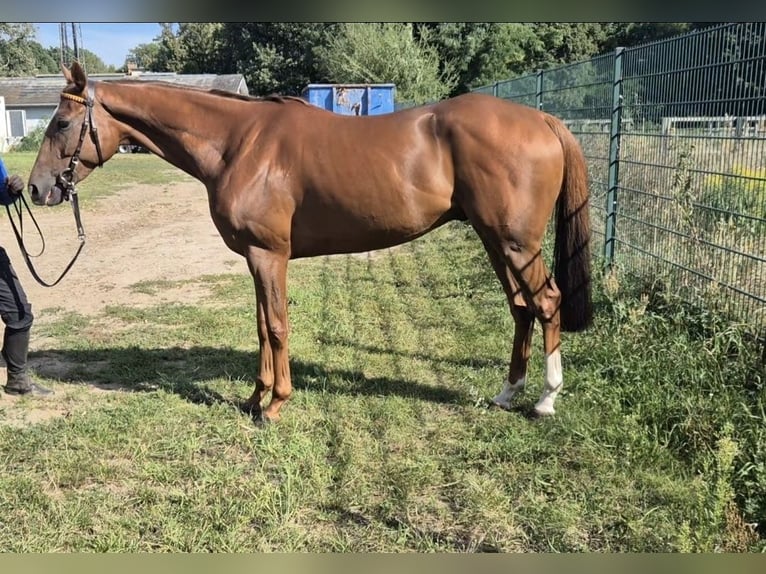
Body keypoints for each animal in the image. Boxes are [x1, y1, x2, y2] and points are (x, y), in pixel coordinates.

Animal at [27, 62, 592, 423]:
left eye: (62, 122)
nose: (34, 189)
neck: (238, 144)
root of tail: (543, 120)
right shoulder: (255, 258)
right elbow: (260, 326)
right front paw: (253, 399)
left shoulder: (268, 255)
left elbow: (276, 327)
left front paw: (276, 403)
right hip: (494, 239)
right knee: (520, 307)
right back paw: (507, 393)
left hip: (515, 242)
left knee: (546, 301)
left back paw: (546, 400)